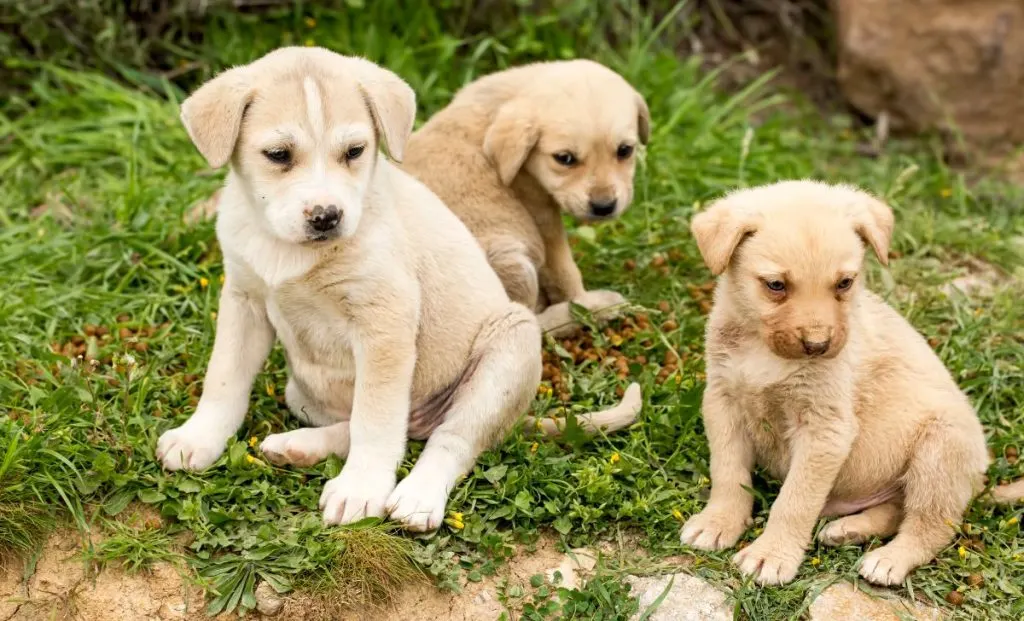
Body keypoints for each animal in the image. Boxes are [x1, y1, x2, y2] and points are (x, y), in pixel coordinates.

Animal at [152, 49, 544, 536]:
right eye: (278, 155)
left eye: (355, 152)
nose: (326, 216)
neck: (289, 250)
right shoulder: (244, 301)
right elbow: (223, 380)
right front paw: (199, 437)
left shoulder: (384, 324)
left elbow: (375, 419)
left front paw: (361, 488)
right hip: (302, 394)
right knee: (382, 427)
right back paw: (297, 447)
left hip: (511, 344)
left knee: (450, 437)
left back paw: (416, 496)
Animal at [399, 60, 647, 338]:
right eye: (565, 158)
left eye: (625, 150)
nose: (604, 206)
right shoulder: (543, 217)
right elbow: (566, 272)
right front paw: (583, 301)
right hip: (513, 260)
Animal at [679, 181, 991, 590]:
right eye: (775, 285)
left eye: (844, 283)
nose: (818, 346)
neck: (765, 350)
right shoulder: (722, 401)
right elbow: (728, 472)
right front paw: (719, 522)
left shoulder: (825, 428)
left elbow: (794, 500)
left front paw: (770, 555)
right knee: (897, 510)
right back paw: (849, 530)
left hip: (942, 449)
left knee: (930, 525)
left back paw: (890, 559)